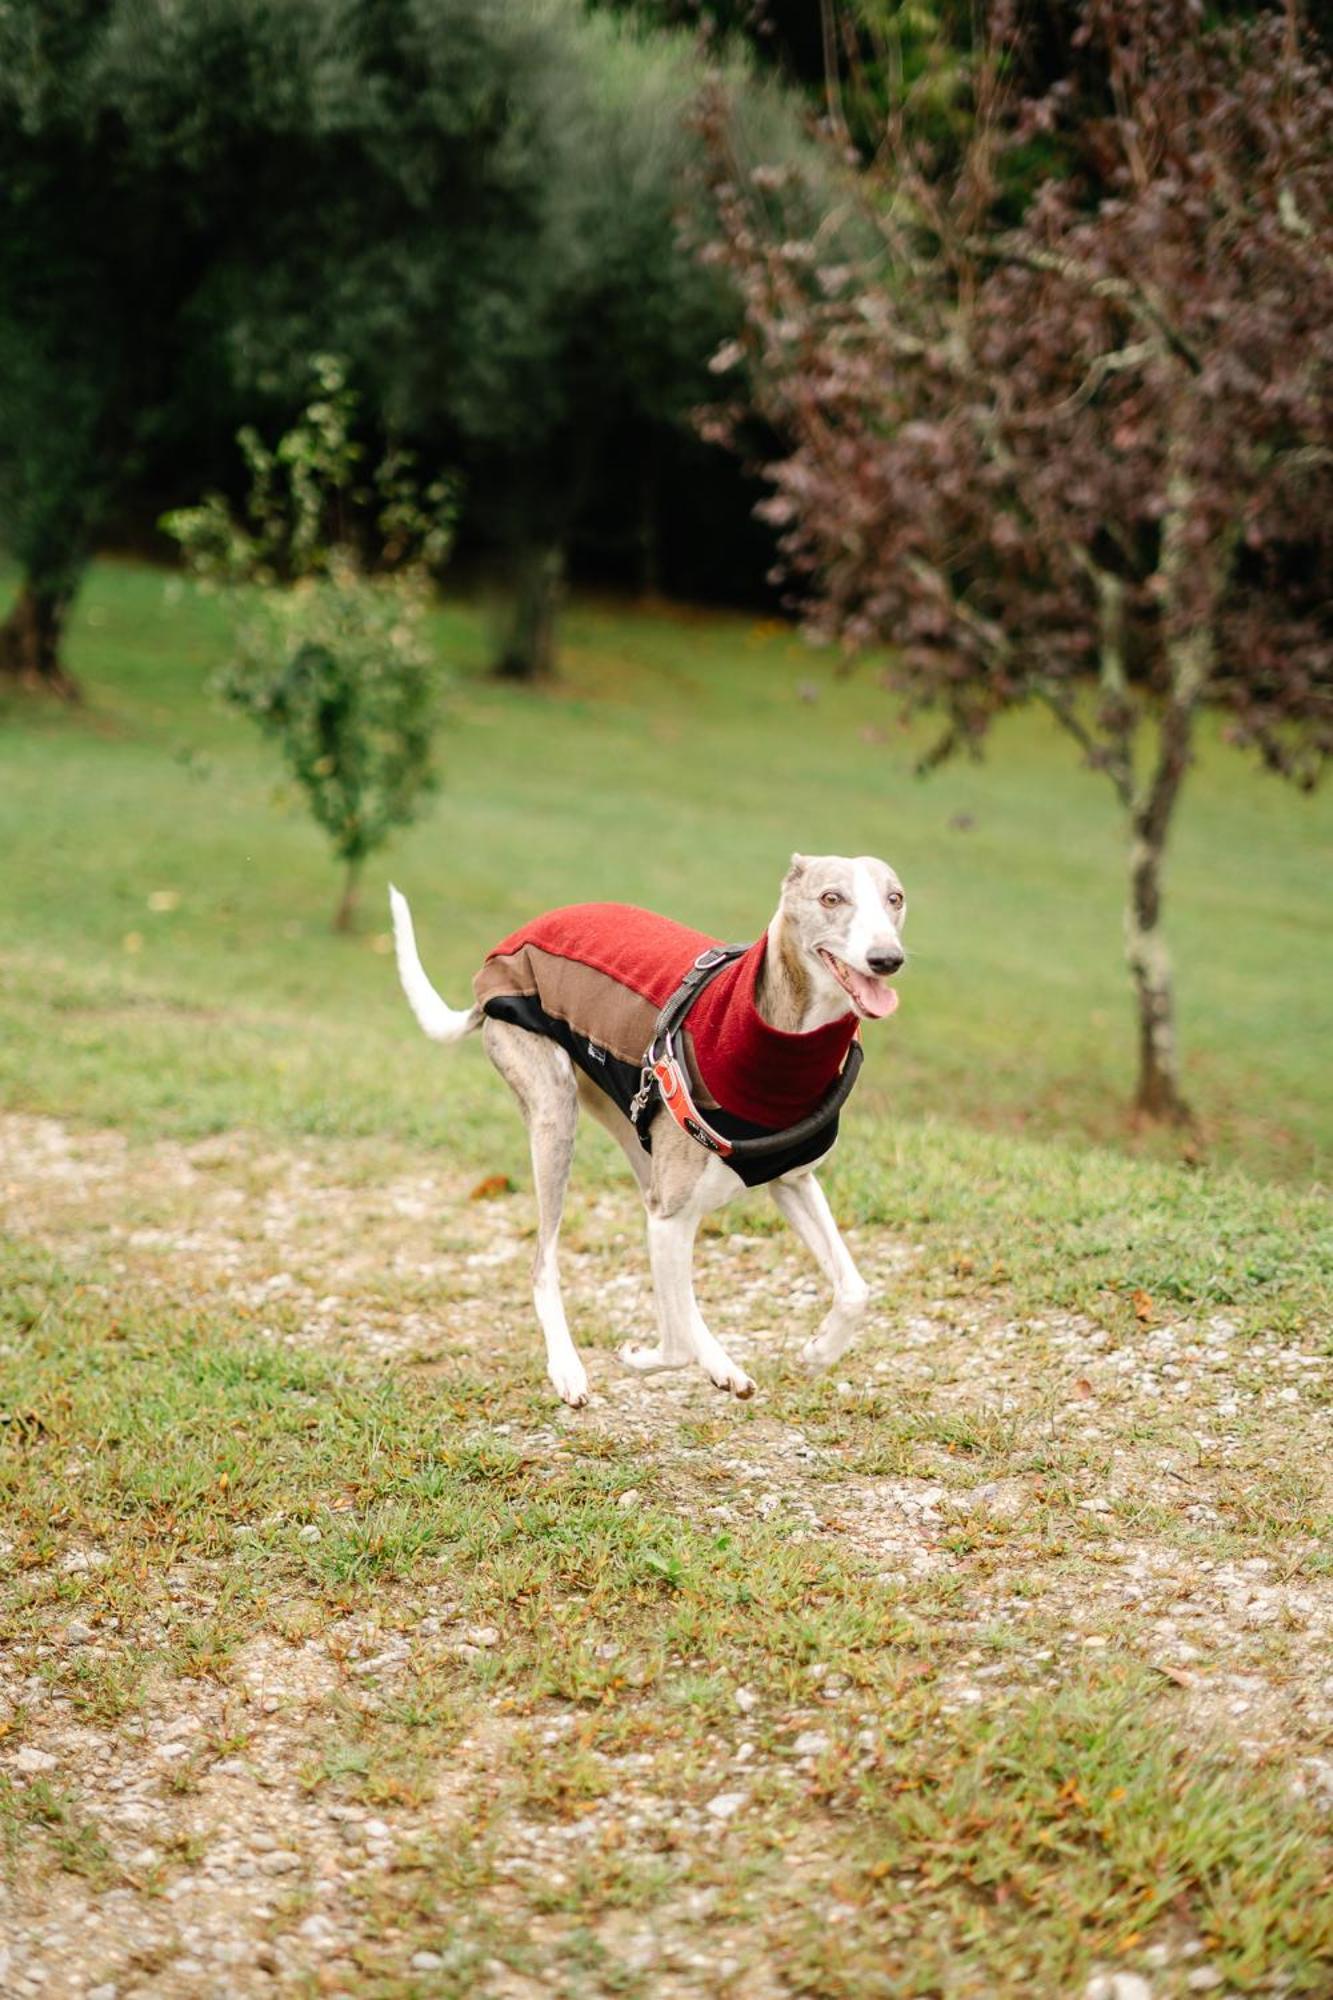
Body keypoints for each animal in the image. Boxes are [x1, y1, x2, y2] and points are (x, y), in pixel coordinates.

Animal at [386, 856, 904, 1408]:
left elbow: (856, 1289)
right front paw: (637, 1358)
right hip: (555, 1111)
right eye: (831, 898)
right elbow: (673, 1344)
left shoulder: (790, 1181)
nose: (886, 959)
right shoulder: (671, 1212)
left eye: (895, 898)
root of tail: (510, 946)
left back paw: (720, 1365)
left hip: (633, 1133)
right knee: (543, 1262)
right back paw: (568, 1368)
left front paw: (818, 1352)